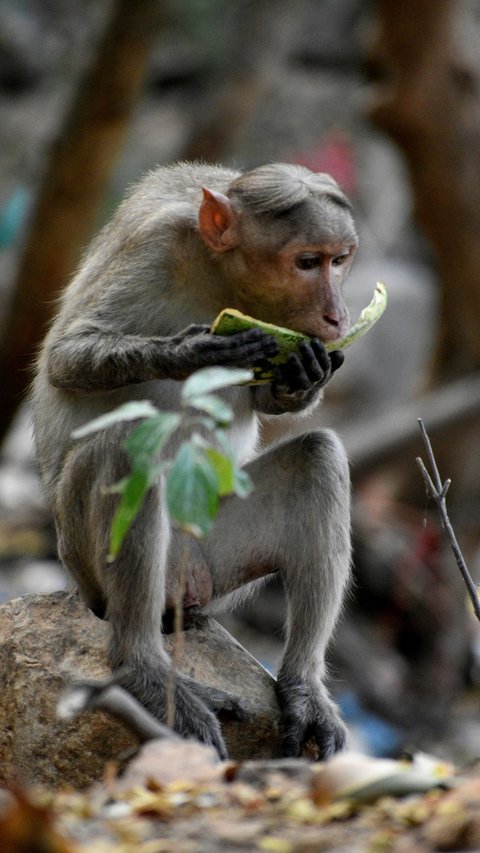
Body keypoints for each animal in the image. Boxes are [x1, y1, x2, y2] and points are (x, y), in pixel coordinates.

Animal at [31, 161, 358, 760]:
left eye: (339, 259)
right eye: (308, 262)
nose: (337, 313)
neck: (222, 275)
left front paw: (303, 373)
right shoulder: (155, 246)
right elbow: (66, 357)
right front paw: (190, 352)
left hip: (212, 549)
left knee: (317, 458)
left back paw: (302, 687)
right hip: (85, 561)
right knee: (126, 446)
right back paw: (143, 667)